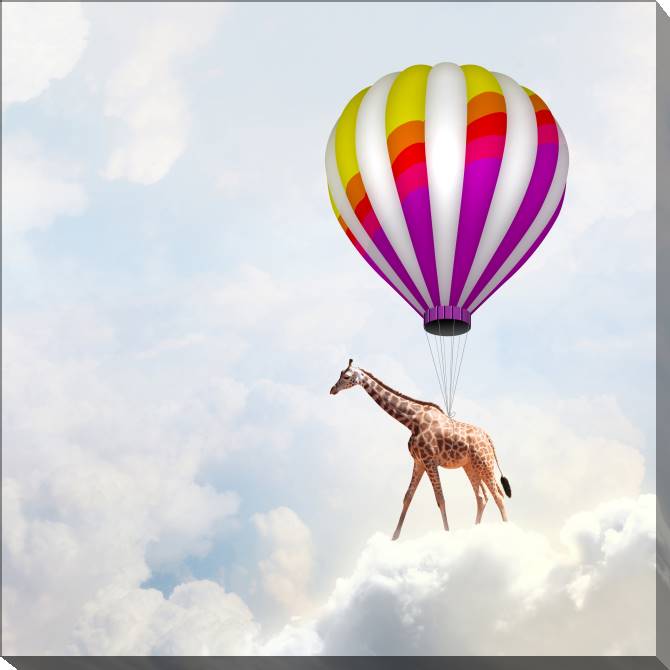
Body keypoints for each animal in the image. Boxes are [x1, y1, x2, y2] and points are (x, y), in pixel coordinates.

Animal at [329, 359, 511, 540]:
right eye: (340, 373)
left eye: (346, 376)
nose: (332, 390)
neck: (411, 421)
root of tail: (489, 438)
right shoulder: (419, 461)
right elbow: (407, 497)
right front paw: (394, 538)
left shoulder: (429, 460)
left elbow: (440, 499)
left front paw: (447, 533)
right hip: (470, 466)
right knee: (482, 497)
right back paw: (476, 530)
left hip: (484, 463)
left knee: (498, 496)